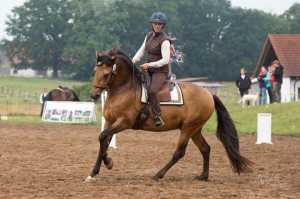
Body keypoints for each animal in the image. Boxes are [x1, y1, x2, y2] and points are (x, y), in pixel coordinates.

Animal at [85, 48, 252, 182]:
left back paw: (158, 175)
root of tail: (209, 94)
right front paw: (95, 171)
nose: (93, 95)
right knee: (205, 148)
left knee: (179, 152)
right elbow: (103, 141)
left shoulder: (124, 122)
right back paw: (203, 176)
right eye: (94, 71)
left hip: (188, 128)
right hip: (195, 129)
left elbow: (102, 137)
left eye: (106, 74)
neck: (124, 89)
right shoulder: (110, 121)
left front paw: (107, 164)